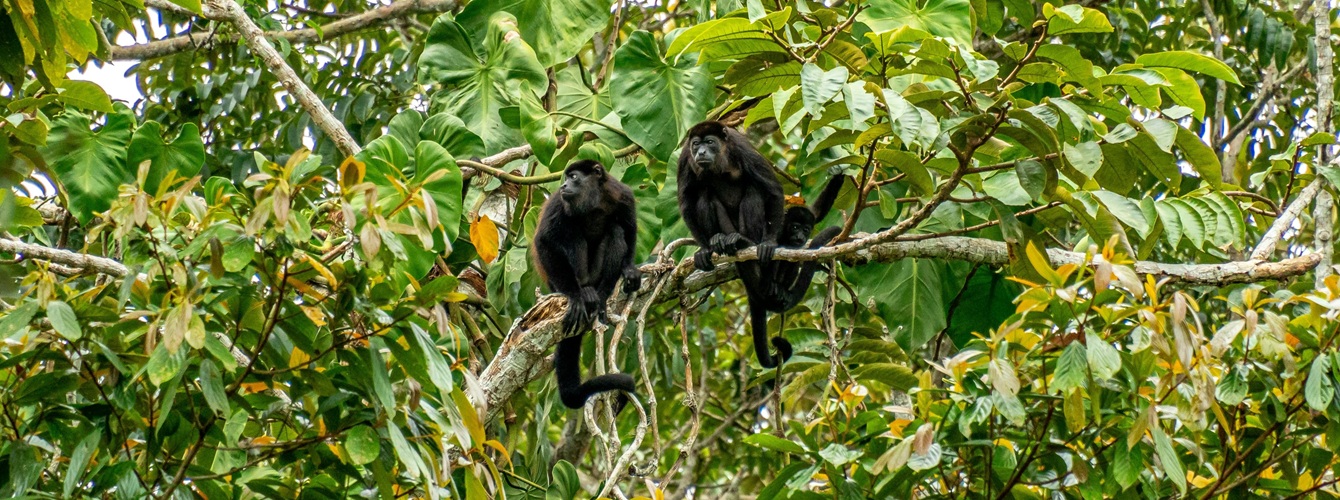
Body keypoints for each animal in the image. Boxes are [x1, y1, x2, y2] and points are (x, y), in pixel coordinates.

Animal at [532, 160, 642, 410]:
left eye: (574, 177)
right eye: (566, 178)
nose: (564, 185)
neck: (595, 200)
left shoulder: (623, 194)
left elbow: (629, 229)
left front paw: (629, 269)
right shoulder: (559, 201)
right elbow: (543, 240)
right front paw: (574, 295)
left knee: (616, 230)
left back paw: (601, 294)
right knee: (570, 232)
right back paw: (584, 291)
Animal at [677, 120, 790, 368]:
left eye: (710, 142)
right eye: (696, 144)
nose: (701, 152)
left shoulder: (743, 150)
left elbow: (773, 190)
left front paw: (769, 243)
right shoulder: (684, 159)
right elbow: (686, 203)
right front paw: (705, 249)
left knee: (754, 191)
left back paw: (743, 242)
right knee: (704, 195)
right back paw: (718, 241)